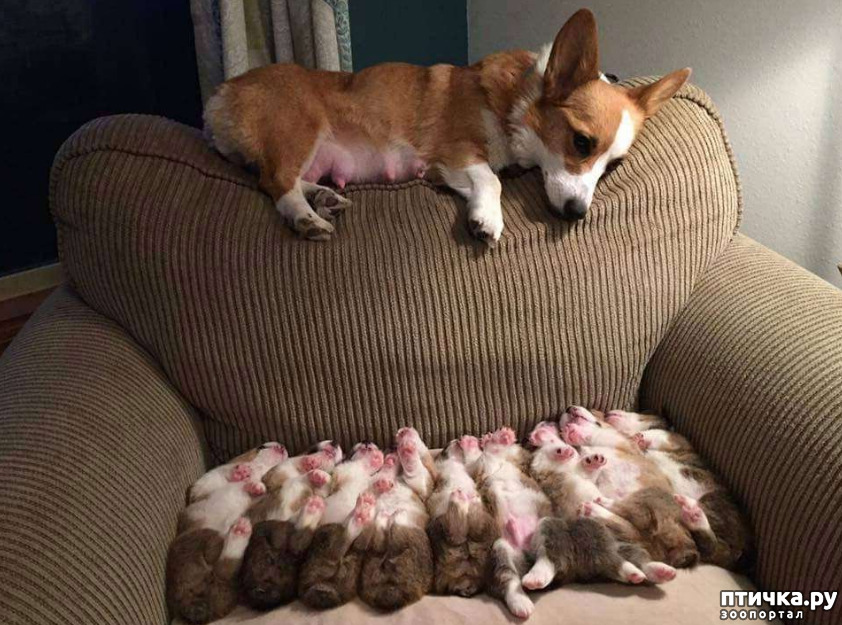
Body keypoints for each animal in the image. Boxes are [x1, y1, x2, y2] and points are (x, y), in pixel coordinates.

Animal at [204, 9, 689, 244]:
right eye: (582, 142)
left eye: (613, 166)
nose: (576, 215)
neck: (515, 102)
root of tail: (219, 96)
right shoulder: (455, 152)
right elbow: (491, 180)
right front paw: (486, 219)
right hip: (299, 127)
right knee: (275, 180)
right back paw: (306, 218)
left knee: (290, 178)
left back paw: (324, 198)